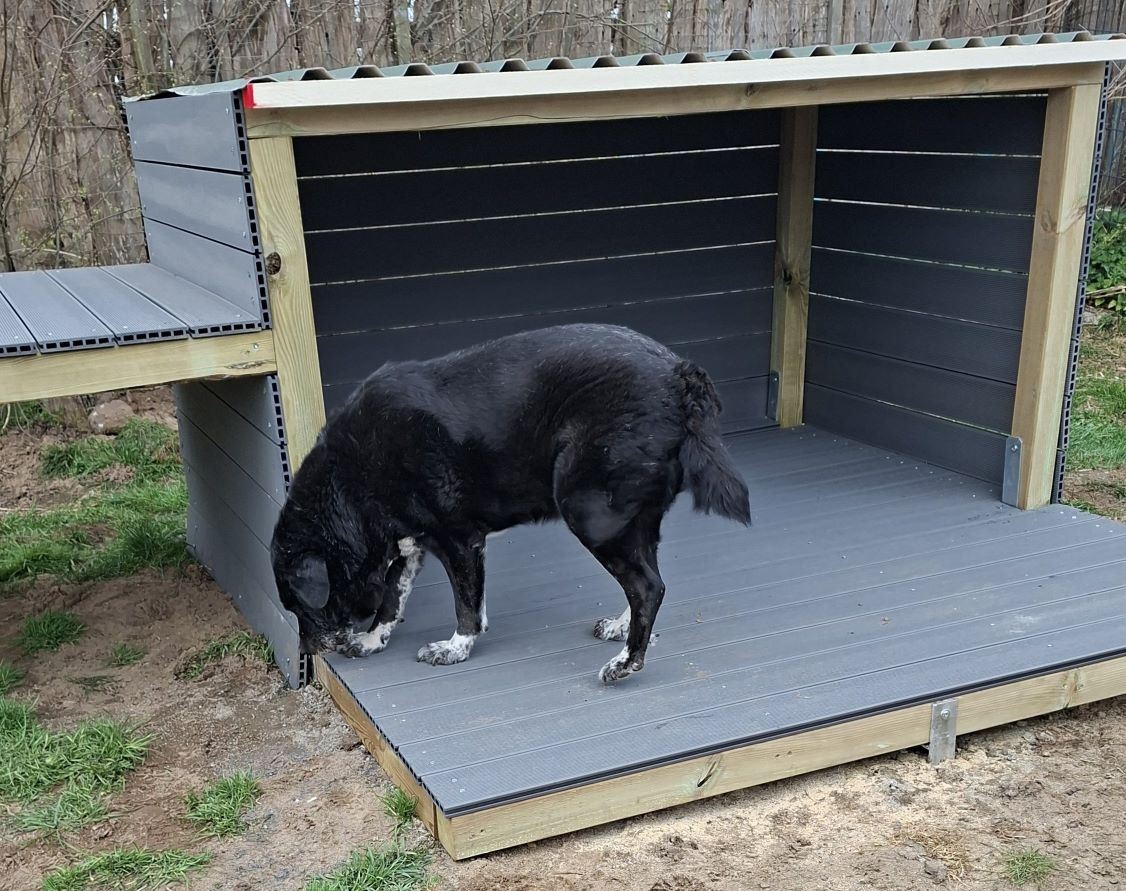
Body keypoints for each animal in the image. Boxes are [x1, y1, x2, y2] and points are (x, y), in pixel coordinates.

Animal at [270, 324, 751, 683]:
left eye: (298, 607)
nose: (309, 655)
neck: (350, 476)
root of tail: (678, 373)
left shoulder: (459, 540)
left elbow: (467, 605)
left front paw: (455, 649)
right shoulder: (410, 544)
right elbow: (391, 600)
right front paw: (372, 641)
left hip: (590, 512)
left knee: (649, 587)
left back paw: (626, 663)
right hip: (628, 521)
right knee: (645, 581)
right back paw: (623, 629)